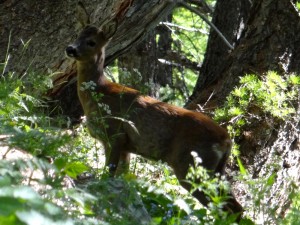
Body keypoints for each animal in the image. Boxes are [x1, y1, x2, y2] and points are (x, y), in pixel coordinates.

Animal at [66, 1, 244, 216]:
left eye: (91, 42)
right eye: (77, 35)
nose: (70, 49)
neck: (99, 92)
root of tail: (226, 140)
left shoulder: (115, 133)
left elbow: (109, 172)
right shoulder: (126, 145)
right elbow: (122, 176)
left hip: (191, 164)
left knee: (226, 205)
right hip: (214, 169)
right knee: (233, 205)